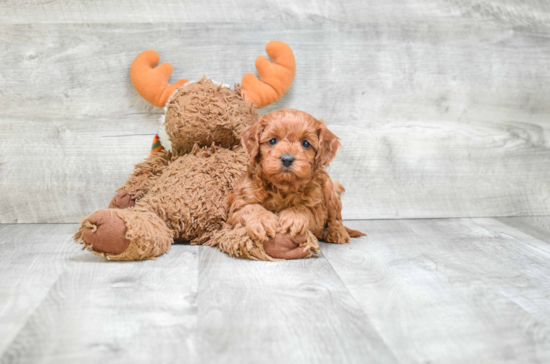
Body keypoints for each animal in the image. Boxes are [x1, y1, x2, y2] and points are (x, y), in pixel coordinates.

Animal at [226, 109, 364, 258]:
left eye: (305, 143)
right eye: (272, 141)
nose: (287, 159)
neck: (283, 186)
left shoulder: (317, 207)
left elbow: (305, 208)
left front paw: (293, 217)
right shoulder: (238, 204)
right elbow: (250, 208)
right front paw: (262, 220)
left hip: (331, 189)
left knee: (336, 218)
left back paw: (336, 232)